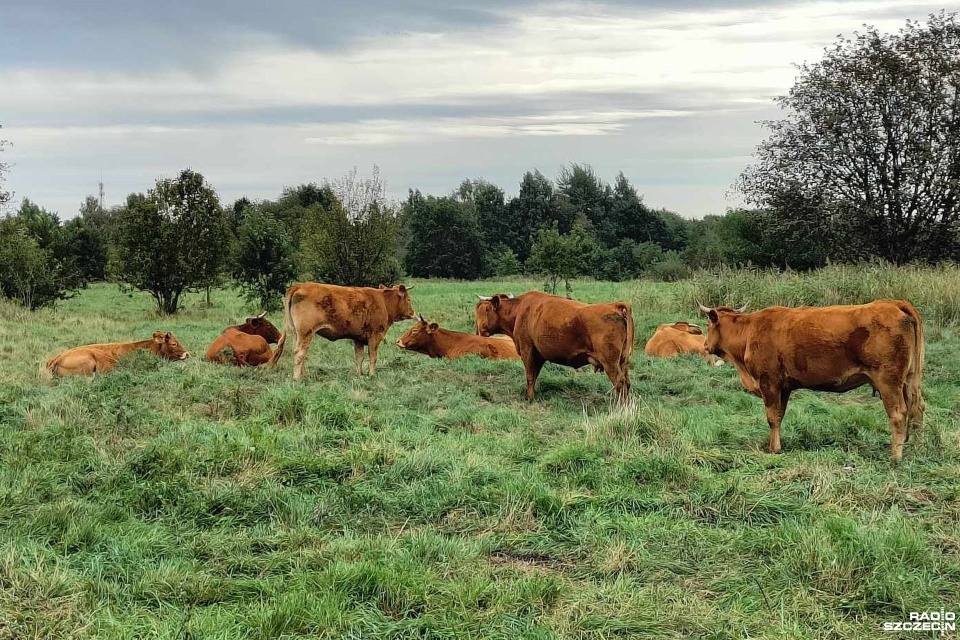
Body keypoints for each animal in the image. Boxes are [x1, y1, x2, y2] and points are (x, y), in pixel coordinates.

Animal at [278, 282, 412, 380]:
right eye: (409, 299)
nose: (413, 313)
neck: (383, 302)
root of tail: (300, 285)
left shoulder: (358, 338)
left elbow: (359, 357)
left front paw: (360, 374)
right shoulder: (375, 335)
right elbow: (373, 356)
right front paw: (372, 375)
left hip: (297, 334)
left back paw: (304, 375)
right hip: (306, 333)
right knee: (300, 353)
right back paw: (297, 378)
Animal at [474, 292, 636, 402]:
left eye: (486, 310)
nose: (478, 331)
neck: (519, 311)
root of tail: (614, 306)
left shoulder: (527, 351)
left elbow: (530, 376)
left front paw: (529, 398)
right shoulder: (539, 355)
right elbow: (534, 376)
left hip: (610, 363)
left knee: (620, 384)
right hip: (623, 361)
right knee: (627, 383)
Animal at [700, 300, 928, 460]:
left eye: (708, 325)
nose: (704, 345)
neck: (749, 331)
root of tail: (893, 303)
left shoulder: (769, 382)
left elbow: (772, 417)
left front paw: (773, 449)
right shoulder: (784, 387)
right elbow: (779, 417)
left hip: (888, 382)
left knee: (899, 414)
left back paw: (895, 456)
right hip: (910, 379)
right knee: (917, 409)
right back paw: (915, 448)